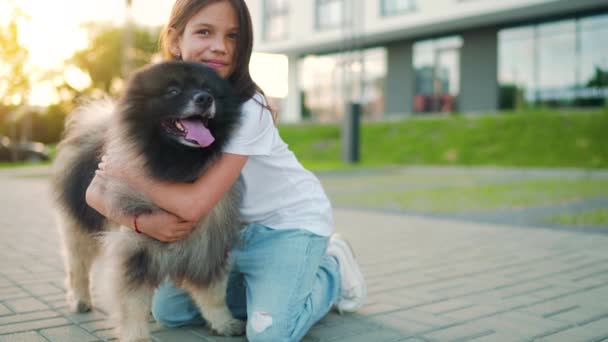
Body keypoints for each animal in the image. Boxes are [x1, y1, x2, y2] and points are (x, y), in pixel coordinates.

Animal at [50, 60, 245, 340]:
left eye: (208, 89)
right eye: (173, 91)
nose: (204, 99)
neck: (175, 166)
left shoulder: (208, 243)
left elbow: (214, 293)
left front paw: (224, 322)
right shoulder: (134, 249)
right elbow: (131, 302)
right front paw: (136, 334)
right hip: (79, 229)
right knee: (77, 266)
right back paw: (80, 300)